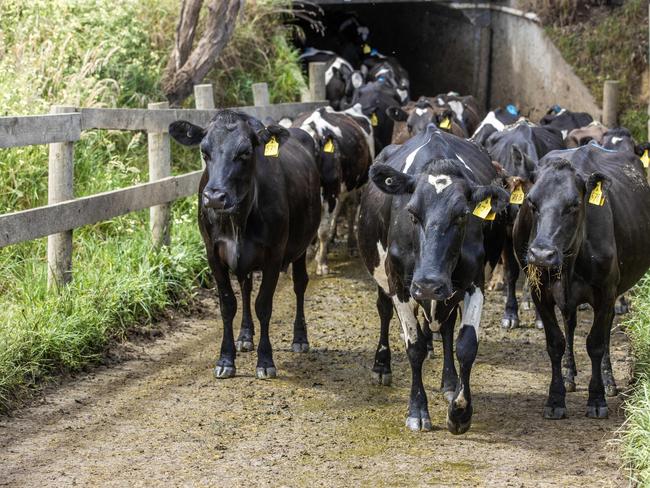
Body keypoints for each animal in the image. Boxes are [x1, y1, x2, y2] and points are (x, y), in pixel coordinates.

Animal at [167, 109, 318, 378]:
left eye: (245, 152)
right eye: (204, 152)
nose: (214, 197)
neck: (238, 219)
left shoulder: (274, 255)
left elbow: (264, 305)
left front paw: (265, 360)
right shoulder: (213, 254)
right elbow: (229, 305)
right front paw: (226, 359)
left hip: (302, 243)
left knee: (300, 284)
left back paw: (300, 338)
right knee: (246, 288)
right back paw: (245, 336)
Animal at [292, 106, 372, 274]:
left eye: (312, 150)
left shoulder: (330, 195)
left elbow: (322, 230)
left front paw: (321, 263)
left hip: (355, 185)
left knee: (351, 210)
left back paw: (351, 246)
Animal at [356, 124, 508, 432]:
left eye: (462, 215)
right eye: (412, 213)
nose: (428, 283)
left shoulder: (474, 282)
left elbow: (466, 345)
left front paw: (460, 410)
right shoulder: (399, 283)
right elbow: (414, 346)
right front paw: (417, 410)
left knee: (447, 328)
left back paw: (449, 382)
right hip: (385, 277)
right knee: (384, 311)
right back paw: (381, 365)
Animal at [484, 121, 564, 332]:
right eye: (530, 199)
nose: (512, 213)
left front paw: (540, 317)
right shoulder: (506, 234)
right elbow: (511, 272)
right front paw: (510, 314)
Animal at [512, 144, 650, 416]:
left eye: (574, 204)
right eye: (531, 202)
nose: (541, 254)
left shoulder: (606, 292)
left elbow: (596, 343)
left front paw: (597, 399)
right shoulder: (539, 293)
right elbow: (555, 343)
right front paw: (555, 399)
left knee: (605, 332)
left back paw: (608, 380)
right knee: (570, 323)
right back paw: (569, 375)